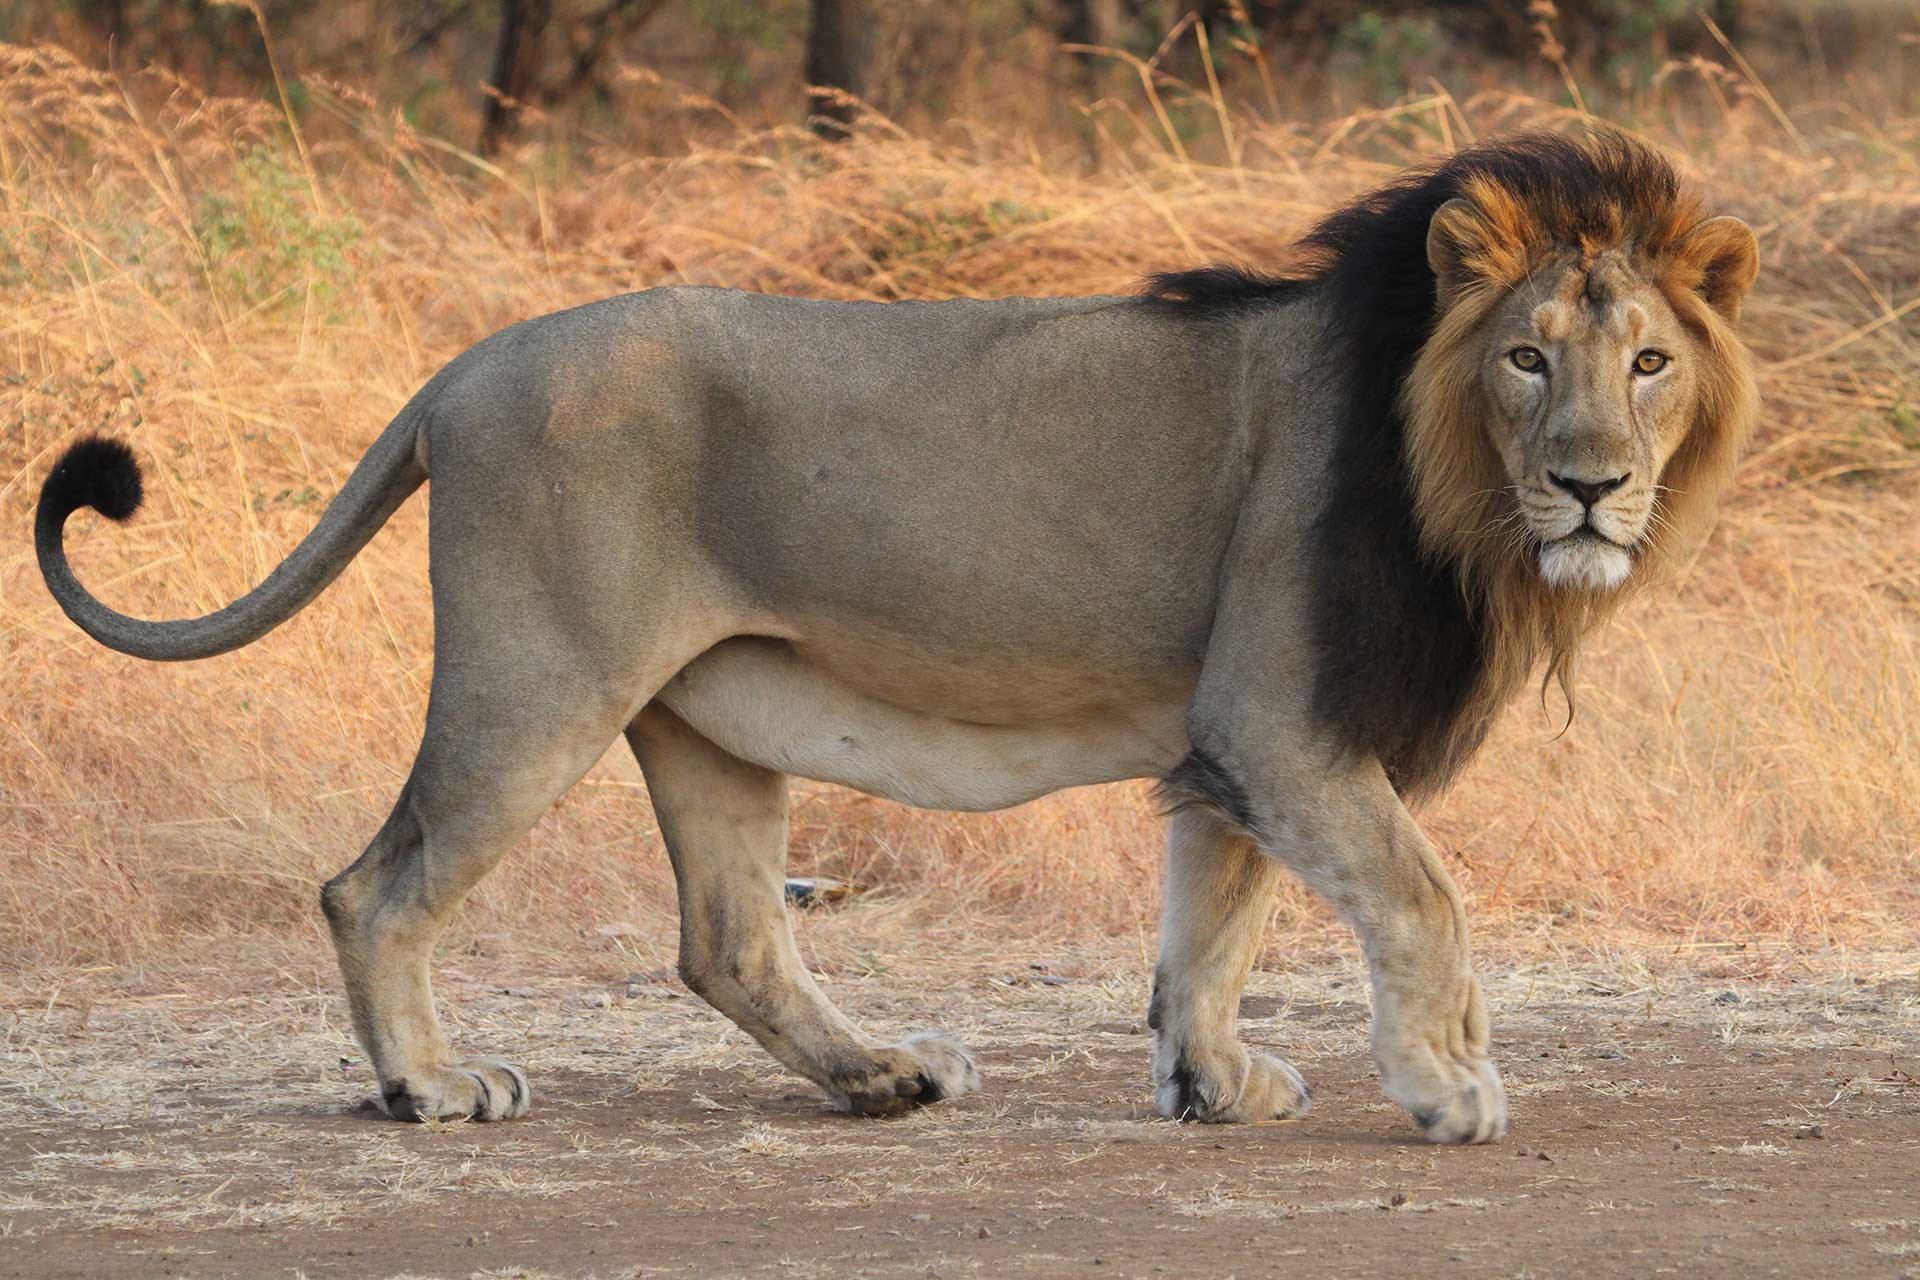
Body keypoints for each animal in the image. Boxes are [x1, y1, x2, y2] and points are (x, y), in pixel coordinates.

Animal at [36, 130, 1758, 1143]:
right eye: (1529, 359)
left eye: (1650, 361)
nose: (1593, 486)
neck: (1451, 471)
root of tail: (464, 366)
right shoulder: (1286, 717)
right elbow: (1423, 901)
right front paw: (1452, 1085)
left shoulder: (1243, 734)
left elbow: (1216, 920)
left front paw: (1211, 1083)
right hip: (538, 682)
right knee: (373, 886)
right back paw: (431, 1087)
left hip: (708, 715)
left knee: (728, 938)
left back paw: (882, 1077)